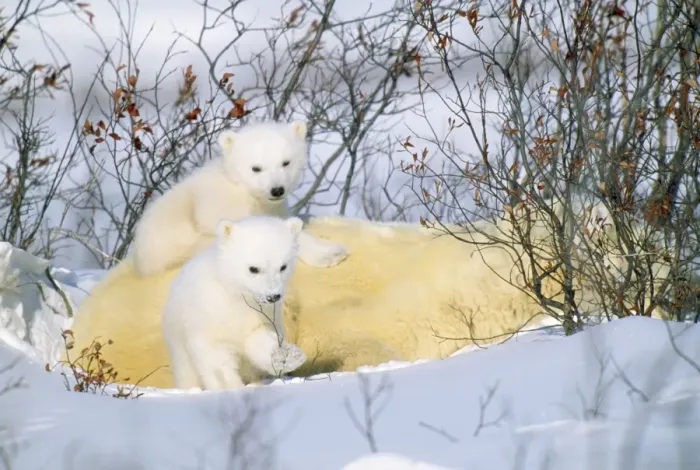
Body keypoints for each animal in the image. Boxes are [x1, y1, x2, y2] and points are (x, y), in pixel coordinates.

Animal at [130, 120, 348, 277]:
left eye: (286, 162)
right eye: (256, 168)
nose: (277, 190)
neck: (243, 190)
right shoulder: (222, 207)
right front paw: (331, 254)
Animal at [162, 215, 307, 390]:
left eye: (283, 266)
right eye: (253, 268)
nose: (273, 296)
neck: (234, 295)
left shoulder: (261, 314)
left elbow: (260, 338)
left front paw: (288, 355)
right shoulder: (209, 316)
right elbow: (216, 356)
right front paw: (230, 386)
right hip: (178, 341)